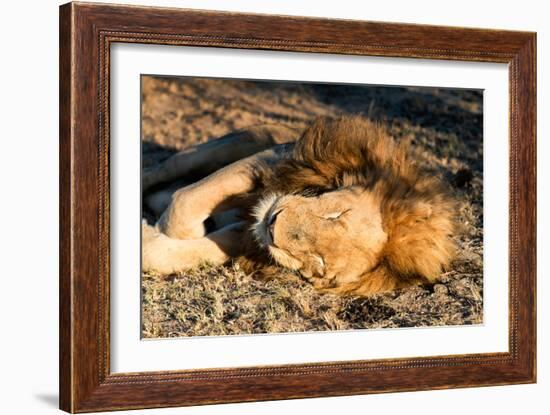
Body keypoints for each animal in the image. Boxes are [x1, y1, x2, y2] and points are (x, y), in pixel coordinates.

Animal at [142, 117, 458, 298]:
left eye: (320, 265)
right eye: (335, 214)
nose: (273, 224)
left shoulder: (248, 239)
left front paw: (152, 238)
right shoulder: (273, 161)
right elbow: (186, 202)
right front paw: (168, 225)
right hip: (231, 144)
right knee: (159, 170)